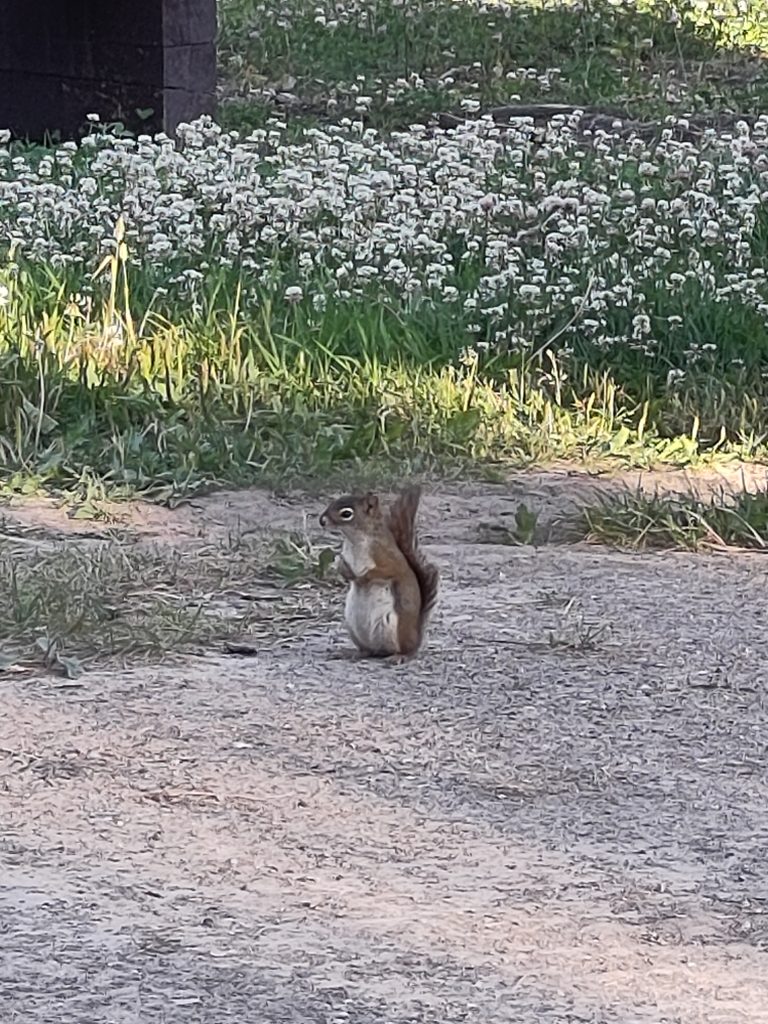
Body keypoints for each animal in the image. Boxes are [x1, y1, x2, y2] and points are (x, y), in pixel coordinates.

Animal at [319, 485, 439, 660]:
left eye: (346, 513)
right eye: (333, 502)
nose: (322, 521)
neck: (355, 540)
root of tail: (416, 637)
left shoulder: (387, 557)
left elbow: (382, 572)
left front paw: (361, 577)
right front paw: (341, 567)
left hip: (397, 629)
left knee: (406, 650)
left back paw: (400, 656)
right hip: (353, 627)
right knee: (367, 651)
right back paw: (351, 652)